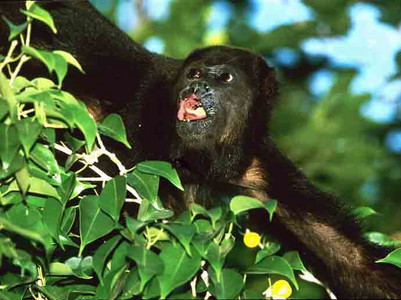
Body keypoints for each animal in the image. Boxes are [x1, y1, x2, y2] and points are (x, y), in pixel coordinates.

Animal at [0, 1, 398, 298]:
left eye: (225, 78)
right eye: (194, 74)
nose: (199, 86)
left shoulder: (261, 169)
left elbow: (350, 257)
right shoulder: (147, 111)